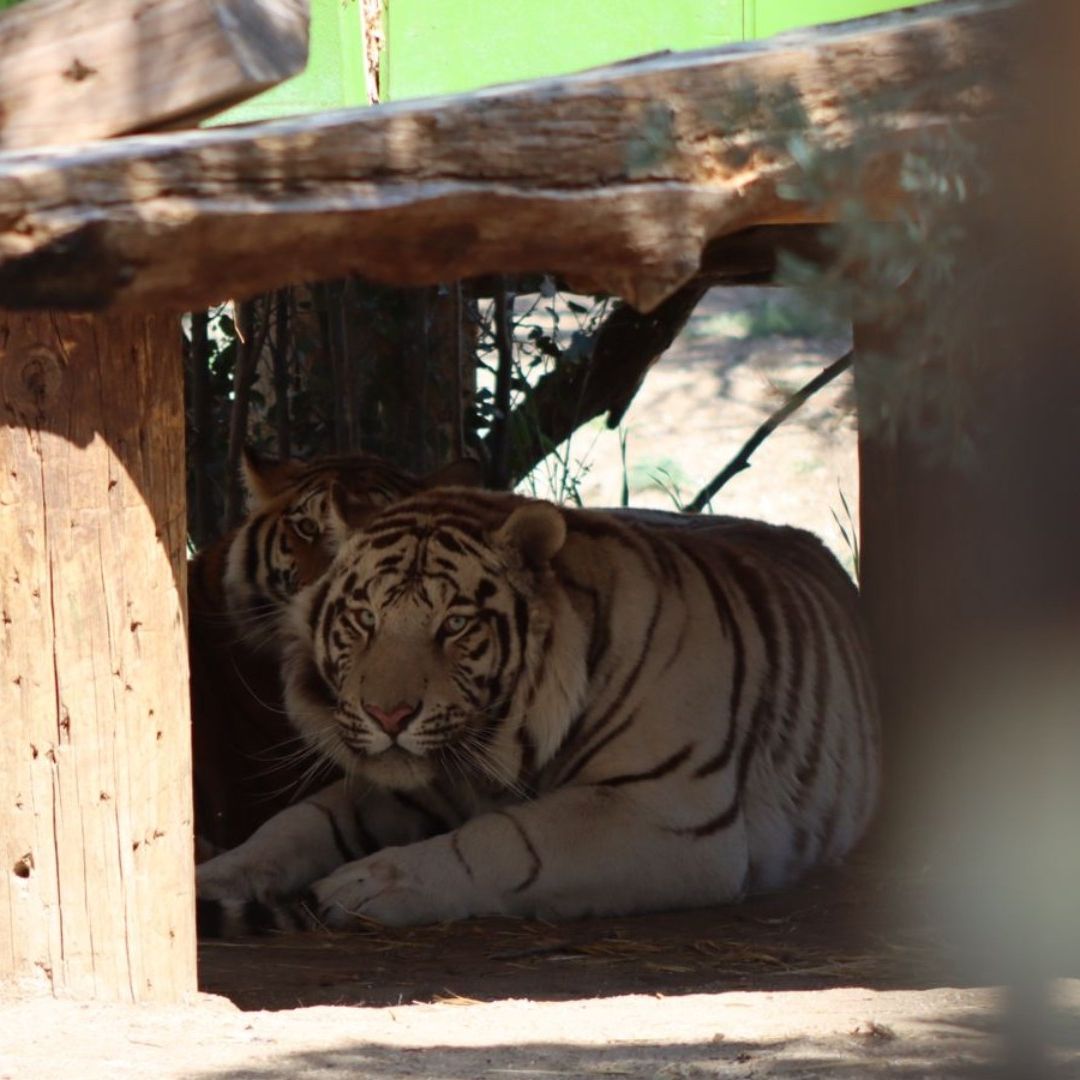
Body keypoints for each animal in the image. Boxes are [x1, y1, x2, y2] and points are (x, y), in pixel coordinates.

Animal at [196, 486, 880, 929]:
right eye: (364, 619)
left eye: (455, 624)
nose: (388, 716)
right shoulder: (418, 786)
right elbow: (298, 822)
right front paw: (204, 878)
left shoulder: (667, 814)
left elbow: (507, 840)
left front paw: (364, 884)